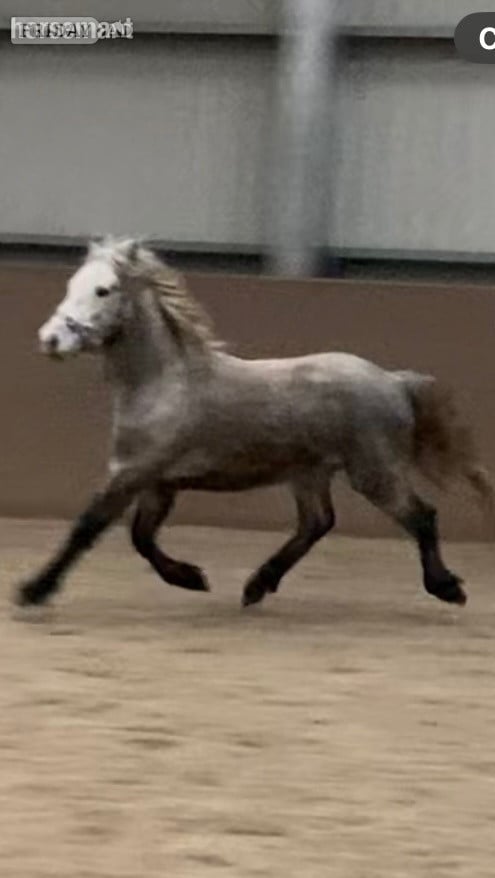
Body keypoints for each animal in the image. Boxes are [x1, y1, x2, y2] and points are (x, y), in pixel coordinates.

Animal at [16, 236, 493, 611]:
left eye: (103, 290)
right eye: (72, 285)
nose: (50, 340)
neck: (163, 383)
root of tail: (393, 381)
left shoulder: (134, 473)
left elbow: (89, 528)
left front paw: (33, 591)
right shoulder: (158, 483)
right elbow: (141, 538)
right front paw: (191, 577)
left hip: (373, 473)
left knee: (421, 516)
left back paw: (447, 588)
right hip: (310, 473)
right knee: (316, 524)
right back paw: (257, 585)